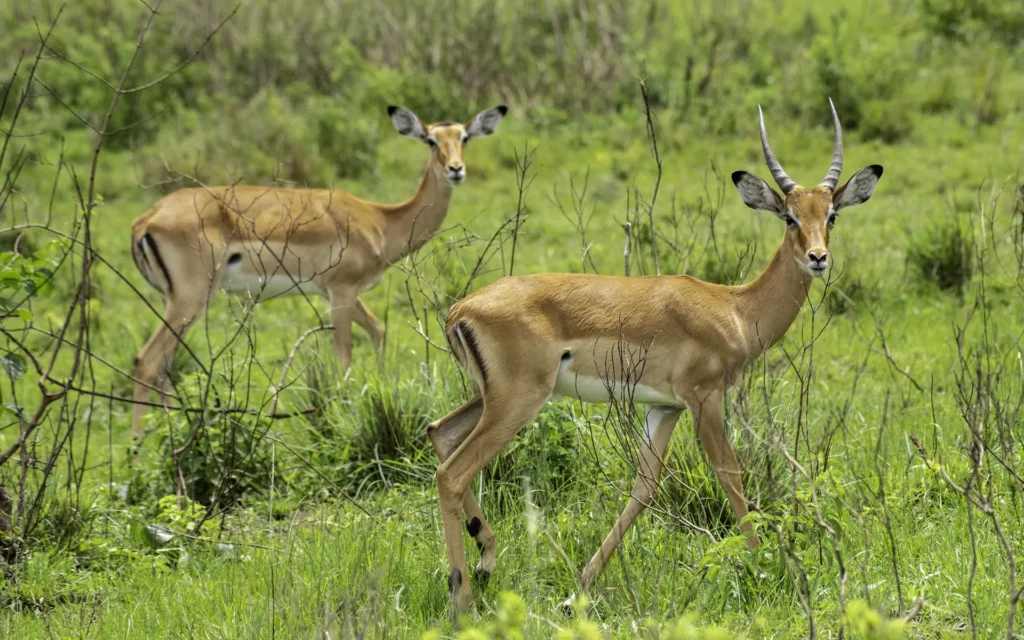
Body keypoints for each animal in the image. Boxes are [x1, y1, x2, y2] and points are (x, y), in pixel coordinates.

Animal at [129, 105, 507, 443]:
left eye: (464, 137)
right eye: (430, 140)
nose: (455, 170)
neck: (380, 221)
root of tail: (146, 219)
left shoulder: (335, 292)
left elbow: (379, 330)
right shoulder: (341, 291)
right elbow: (344, 355)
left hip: (172, 302)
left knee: (163, 369)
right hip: (191, 300)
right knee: (146, 361)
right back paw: (138, 450)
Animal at [427, 101, 883, 611]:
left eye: (831, 215)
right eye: (788, 216)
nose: (817, 258)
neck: (736, 309)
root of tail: (460, 310)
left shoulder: (664, 408)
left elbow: (644, 488)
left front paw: (580, 588)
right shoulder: (705, 399)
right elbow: (730, 474)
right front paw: (763, 565)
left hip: (490, 398)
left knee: (439, 432)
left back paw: (486, 560)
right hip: (517, 401)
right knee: (451, 473)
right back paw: (462, 596)